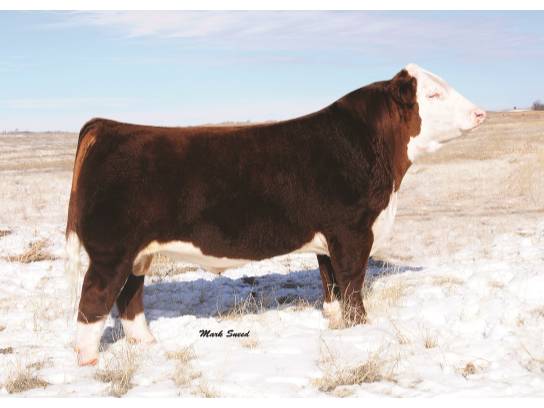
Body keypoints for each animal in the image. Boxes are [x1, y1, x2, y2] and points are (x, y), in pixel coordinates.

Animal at [65, 64, 486, 366]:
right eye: (433, 93)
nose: (481, 112)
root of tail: (109, 127)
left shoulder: (328, 237)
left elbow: (330, 283)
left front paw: (336, 324)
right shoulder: (352, 231)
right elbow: (352, 283)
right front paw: (360, 331)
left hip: (139, 252)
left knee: (129, 297)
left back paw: (147, 343)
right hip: (111, 250)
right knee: (95, 298)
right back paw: (87, 360)